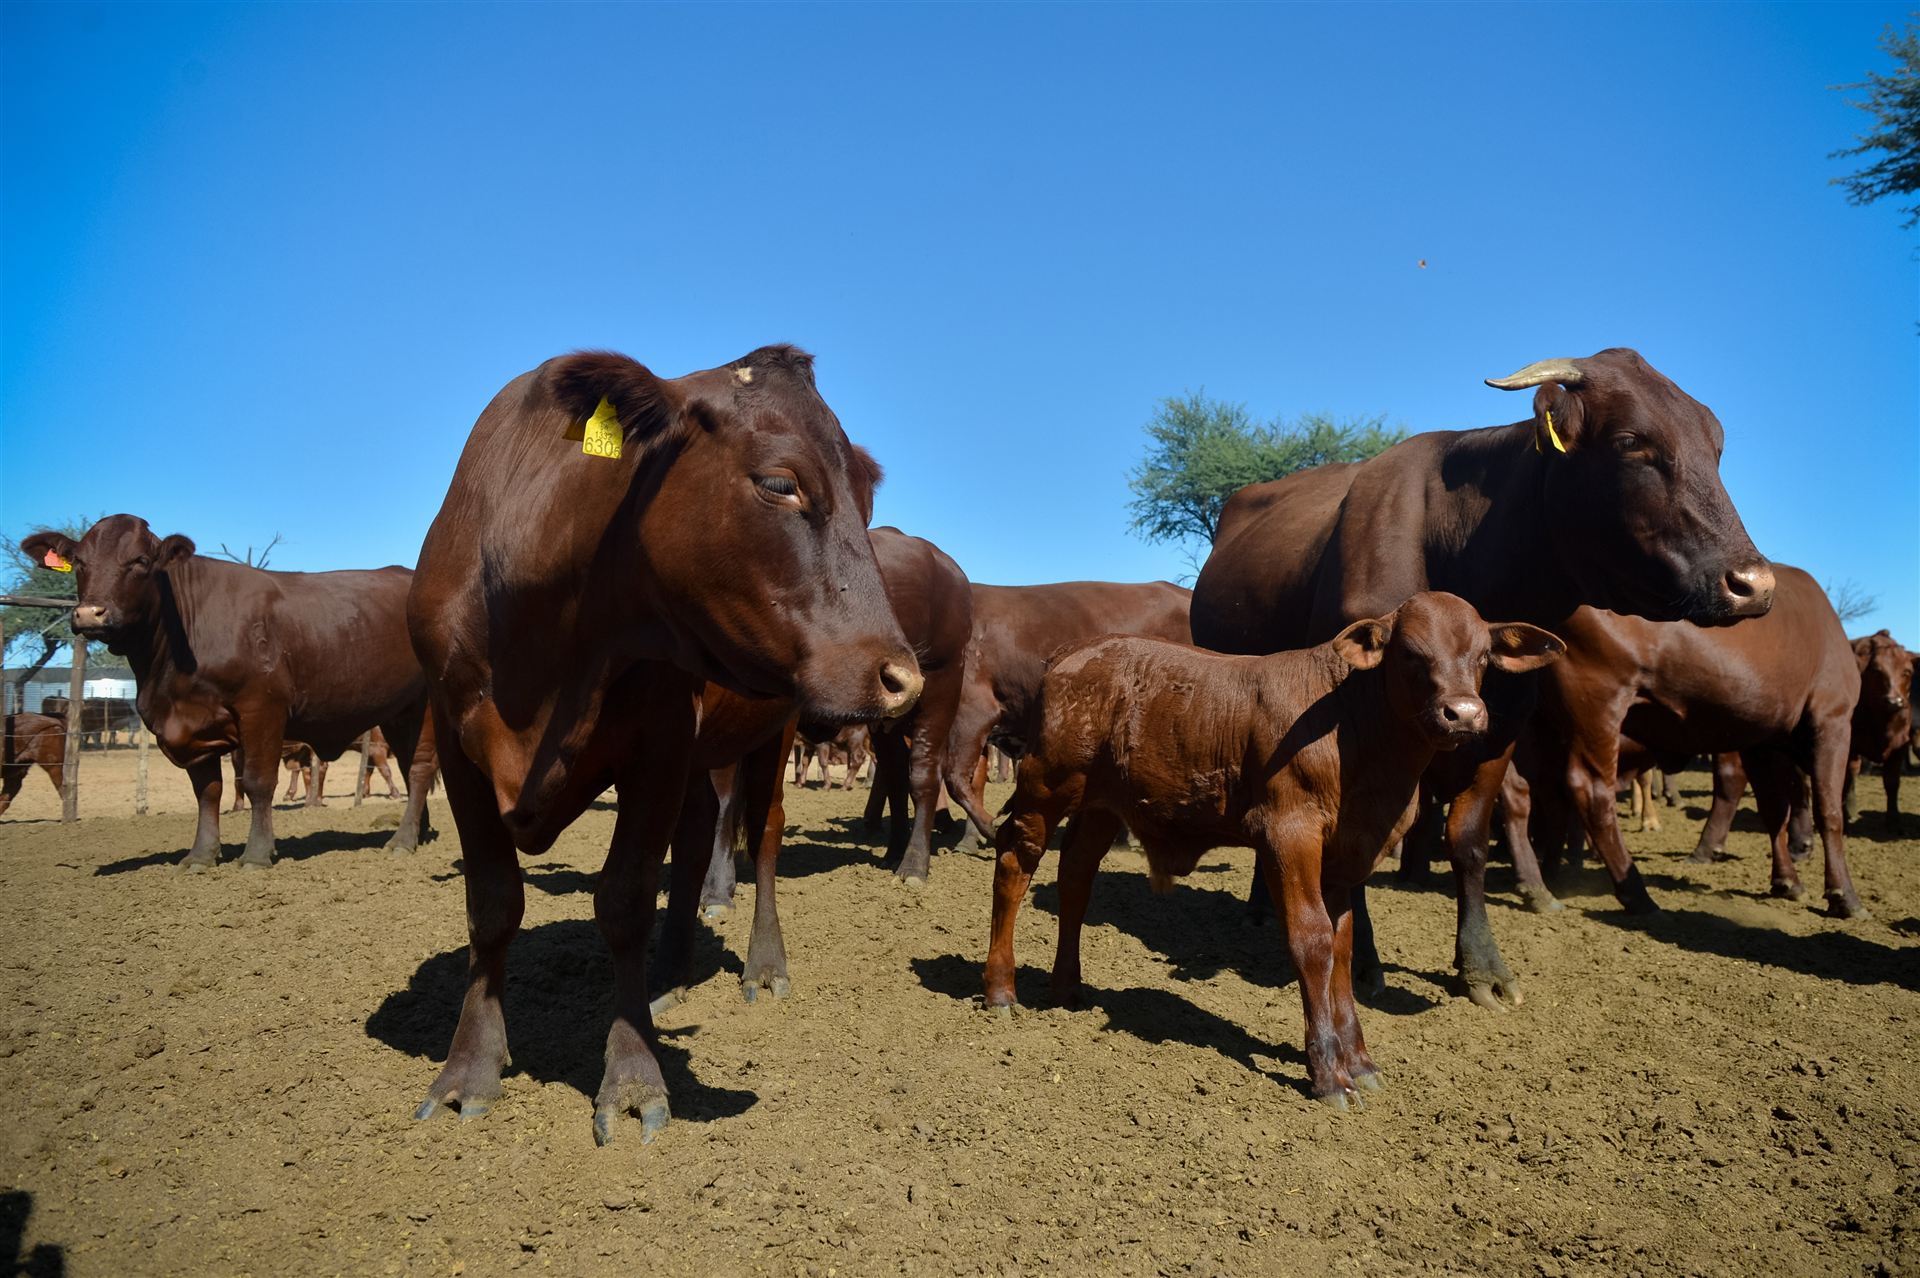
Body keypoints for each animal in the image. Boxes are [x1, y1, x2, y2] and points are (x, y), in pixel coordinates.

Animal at [18, 516, 438, 867]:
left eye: (140, 561)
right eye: (79, 562)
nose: (90, 614)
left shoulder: (262, 708)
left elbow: (256, 782)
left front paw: (256, 854)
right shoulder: (191, 725)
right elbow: (208, 791)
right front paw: (200, 856)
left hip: (427, 706)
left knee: (419, 768)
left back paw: (402, 841)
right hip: (399, 713)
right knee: (406, 765)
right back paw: (418, 832)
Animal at [405, 345, 923, 1146]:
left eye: (867, 502)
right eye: (780, 482)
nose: (902, 678)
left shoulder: (659, 741)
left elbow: (623, 900)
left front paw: (631, 1078)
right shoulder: (460, 748)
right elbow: (492, 904)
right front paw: (469, 1072)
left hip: (770, 733)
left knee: (762, 833)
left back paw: (762, 966)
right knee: (699, 831)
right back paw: (672, 975)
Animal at [983, 593, 1564, 1107]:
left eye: (1483, 656)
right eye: (1410, 653)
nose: (1462, 714)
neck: (1356, 732)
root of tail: (1073, 652)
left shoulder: (1345, 854)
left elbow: (1342, 947)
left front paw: (1359, 1062)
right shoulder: (1290, 832)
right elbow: (1312, 941)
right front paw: (1328, 1074)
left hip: (1102, 803)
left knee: (1076, 875)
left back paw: (1066, 989)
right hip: (1046, 785)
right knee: (1015, 862)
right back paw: (1001, 991)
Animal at [1189, 349, 1773, 1011]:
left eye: (1717, 445)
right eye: (1631, 441)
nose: (1754, 583)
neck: (1462, 551)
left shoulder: (1501, 725)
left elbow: (1467, 839)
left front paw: (1482, 967)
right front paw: (1363, 963)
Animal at [1845, 630, 1913, 831]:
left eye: (1907, 672)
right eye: (1876, 671)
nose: (1894, 701)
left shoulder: (1900, 745)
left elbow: (1892, 782)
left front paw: (1893, 819)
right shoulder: (1850, 745)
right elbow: (1849, 777)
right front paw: (1848, 812)